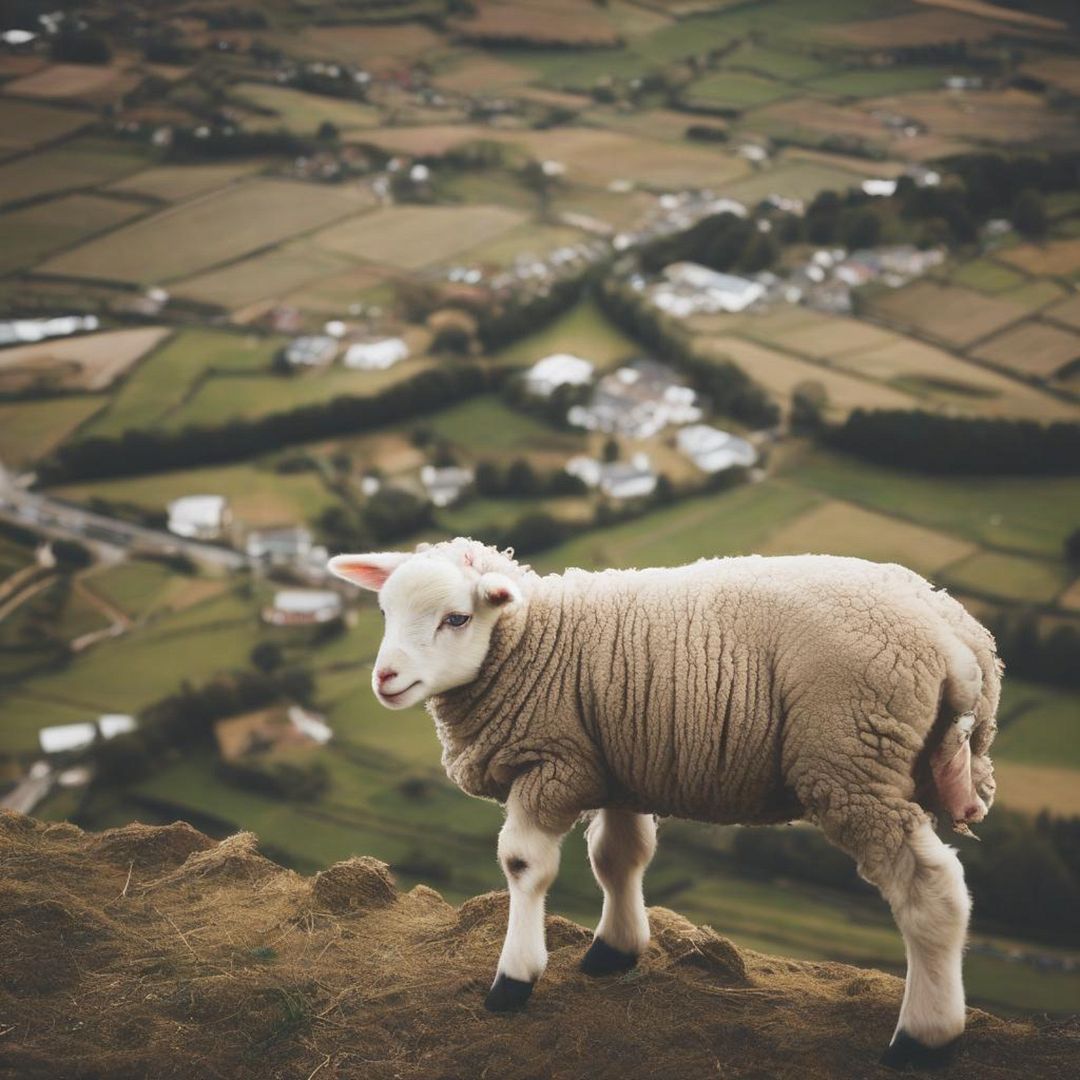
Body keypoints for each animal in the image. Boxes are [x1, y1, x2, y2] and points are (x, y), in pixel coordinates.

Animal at [324, 535, 997, 1067]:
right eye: (383, 610)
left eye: (457, 619)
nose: (385, 678)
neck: (536, 640)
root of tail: (959, 639)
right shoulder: (616, 762)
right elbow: (618, 857)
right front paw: (614, 950)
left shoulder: (552, 762)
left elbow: (524, 866)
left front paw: (513, 981)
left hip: (853, 763)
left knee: (931, 891)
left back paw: (922, 1038)